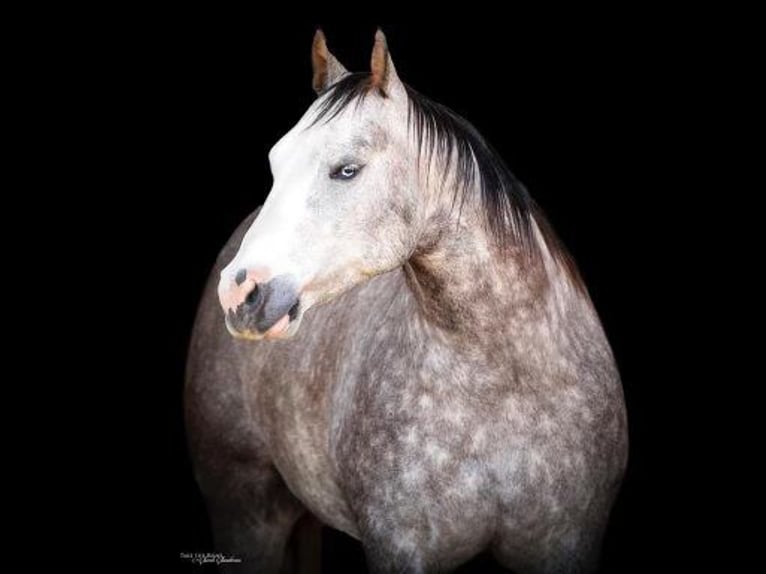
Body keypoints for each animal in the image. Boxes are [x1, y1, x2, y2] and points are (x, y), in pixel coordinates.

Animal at [186, 29, 632, 572]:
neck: (508, 386)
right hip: (248, 513)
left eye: (347, 170)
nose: (240, 290)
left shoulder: (567, 546)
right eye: (276, 162)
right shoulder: (402, 549)